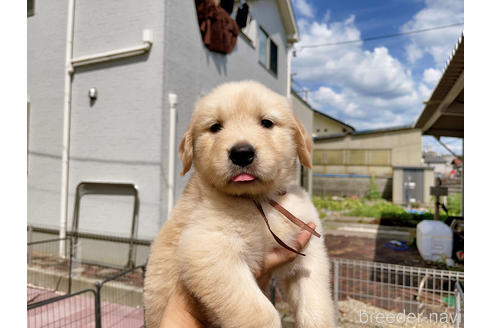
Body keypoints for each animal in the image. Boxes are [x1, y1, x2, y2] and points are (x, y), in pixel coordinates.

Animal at [142, 80, 334, 328]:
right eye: (215, 127)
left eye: (266, 122)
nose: (241, 153)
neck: (259, 200)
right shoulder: (208, 249)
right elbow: (259, 313)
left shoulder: (309, 251)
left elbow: (316, 305)